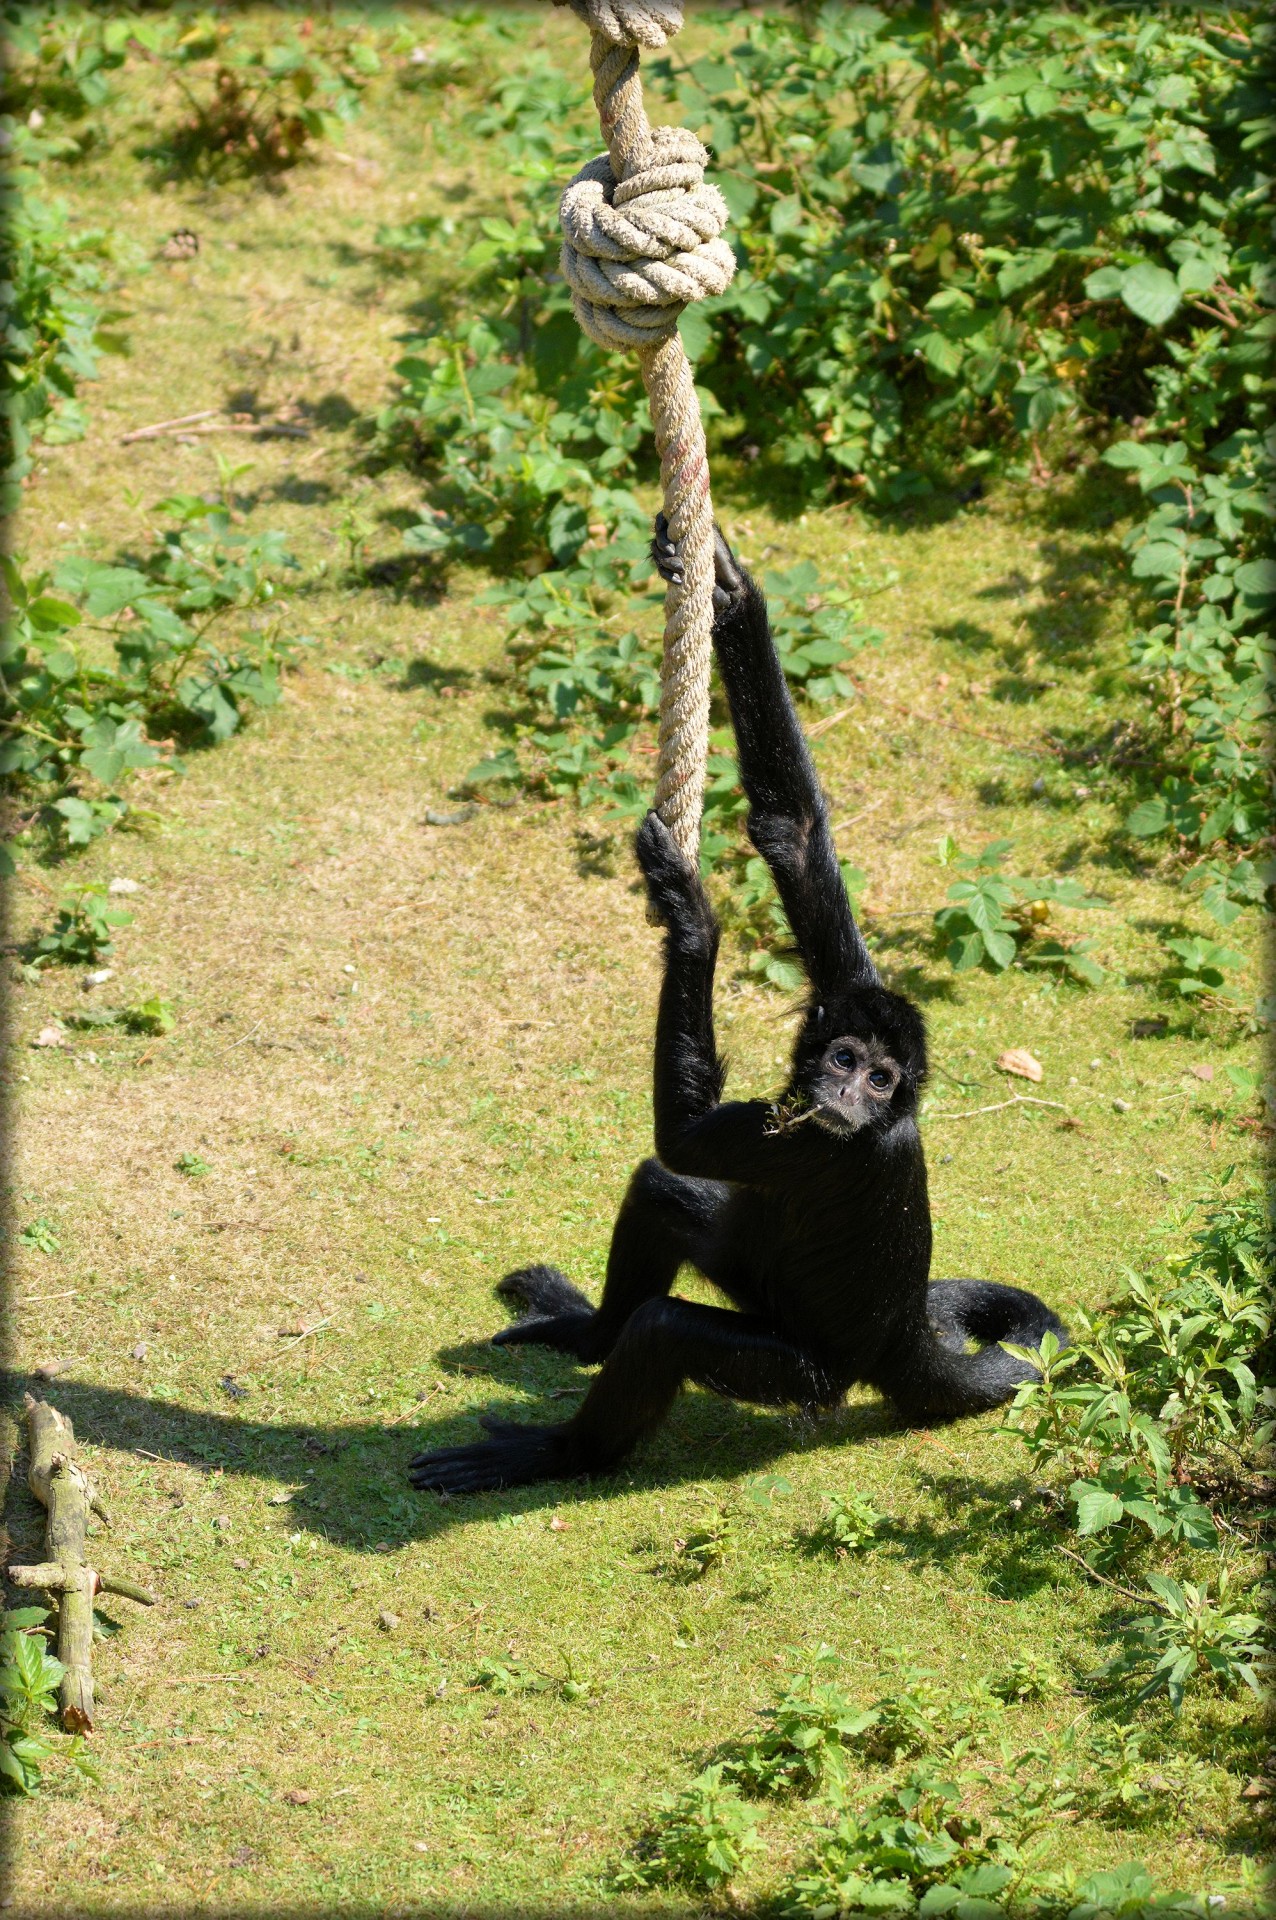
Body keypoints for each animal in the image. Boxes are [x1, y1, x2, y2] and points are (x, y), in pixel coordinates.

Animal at [410, 518, 1066, 1489]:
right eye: (845, 1060)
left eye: (882, 1082)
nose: (844, 1095)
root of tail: (899, 1343)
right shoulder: (849, 992)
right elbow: (791, 829)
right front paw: (724, 584)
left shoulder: (821, 1146)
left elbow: (682, 1135)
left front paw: (691, 914)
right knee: (663, 1193)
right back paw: (586, 1334)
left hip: (800, 1375)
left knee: (666, 1325)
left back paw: (555, 1452)